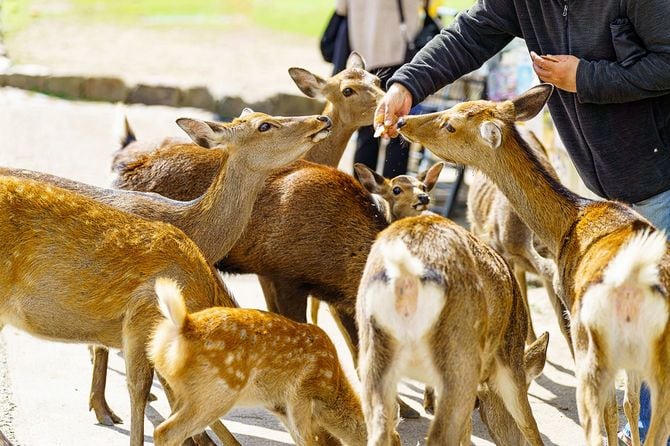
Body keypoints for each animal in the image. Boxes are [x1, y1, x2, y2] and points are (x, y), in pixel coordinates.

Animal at [148, 277, 367, 446]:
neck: (333, 387)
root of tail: (184, 325)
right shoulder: (299, 396)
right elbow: (306, 439)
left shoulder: (279, 405)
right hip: (216, 392)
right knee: (165, 431)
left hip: (185, 392)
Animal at [357, 213, 546, 445]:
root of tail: (405, 270)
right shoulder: (510, 358)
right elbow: (529, 424)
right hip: (461, 358)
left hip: (373, 354)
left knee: (382, 428)